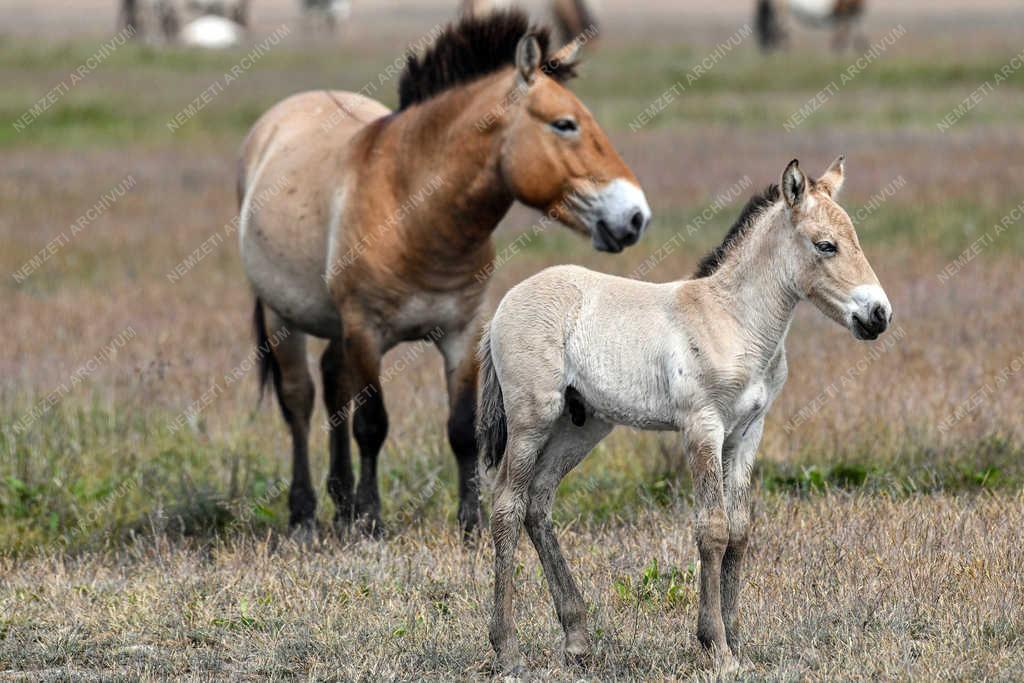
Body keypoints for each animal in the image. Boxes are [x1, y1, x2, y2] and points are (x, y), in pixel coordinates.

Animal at [237, 7, 647, 536]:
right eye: (564, 124)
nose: (635, 216)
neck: (412, 210)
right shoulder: (365, 332)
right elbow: (372, 424)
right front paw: (371, 519)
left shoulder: (461, 332)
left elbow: (462, 429)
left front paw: (470, 521)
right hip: (283, 317)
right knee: (301, 402)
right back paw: (305, 513)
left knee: (332, 387)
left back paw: (340, 502)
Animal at [475, 156, 892, 671]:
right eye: (825, 245)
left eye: (855, 238)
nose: (878, 315)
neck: (735, 322)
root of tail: (502, 308)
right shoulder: (702, 427)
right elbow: (711, 529)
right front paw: (716, 646)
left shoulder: (747, 431)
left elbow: (739, 529)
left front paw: (736, 638)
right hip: (531, 420)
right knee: (506, 507)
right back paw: (507, 648)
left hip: (581, 426)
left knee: (537, 503)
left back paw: (576, 639)